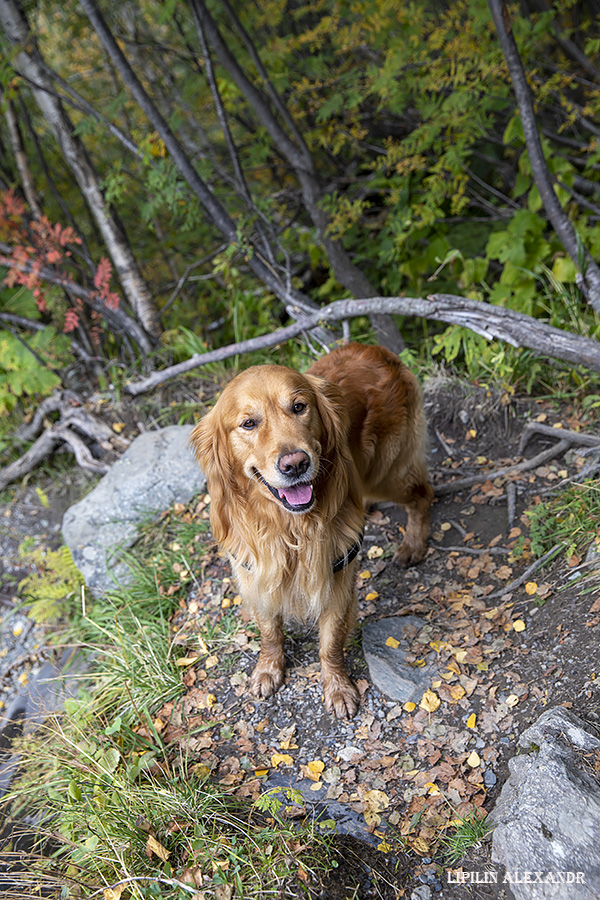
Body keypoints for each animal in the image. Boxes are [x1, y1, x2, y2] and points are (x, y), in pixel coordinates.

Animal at [190, 342, 434, 716]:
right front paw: (268, 668)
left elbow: (329, 643)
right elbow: (269, 631)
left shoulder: (336, 576)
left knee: (423, 494)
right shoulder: (256, 572)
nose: (295, 463)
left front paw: (337, 687)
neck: (287, 527)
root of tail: (374, 349)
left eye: (299, 407)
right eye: (248, 423)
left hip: (388, 471)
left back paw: (413, 544)